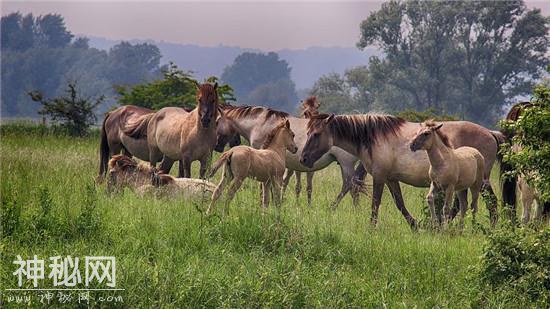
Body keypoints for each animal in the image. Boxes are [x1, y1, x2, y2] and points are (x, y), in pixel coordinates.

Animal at [216, 103, 362, 207]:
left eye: (216, 122)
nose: (217, 146)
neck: (259, 123)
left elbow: (264, 186)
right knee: (351, 187)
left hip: (346, 164)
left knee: (351, 186)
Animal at [302, 113, 504, 229]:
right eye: (308, 133)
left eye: (316, 134)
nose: (303, 158)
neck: (373, 137)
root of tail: (491, 133)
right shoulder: (391, 179)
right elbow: (400, 204)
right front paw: (415, 225)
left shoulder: (379, 177)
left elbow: (375, 204)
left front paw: (372, 227)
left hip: (480, 181)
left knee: (491, 203)